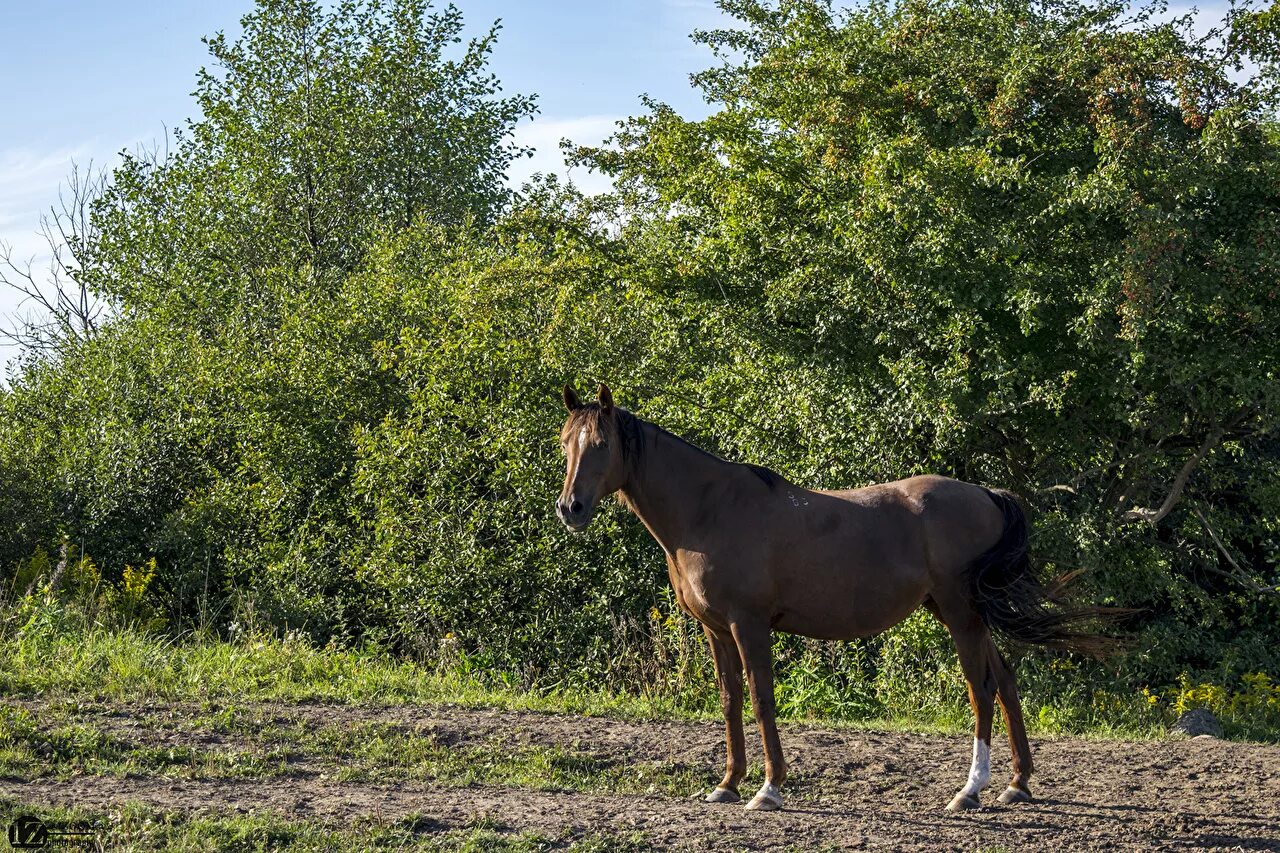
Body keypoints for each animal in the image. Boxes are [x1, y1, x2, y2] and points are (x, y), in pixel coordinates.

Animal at [555, 381, 1116, 809]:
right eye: (566, 443)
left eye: (601, 444)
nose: (570, 508)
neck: (708, 511)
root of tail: (985, 494)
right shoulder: (716, 630)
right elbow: (730, 700)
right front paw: (727, 785)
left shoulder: (748, 624)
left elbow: (761, 698)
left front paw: (769, 789)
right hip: (963, 613)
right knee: (1004, 680)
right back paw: (1017, 784)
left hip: (962, 614)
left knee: (981, 689)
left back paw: (970, 789)